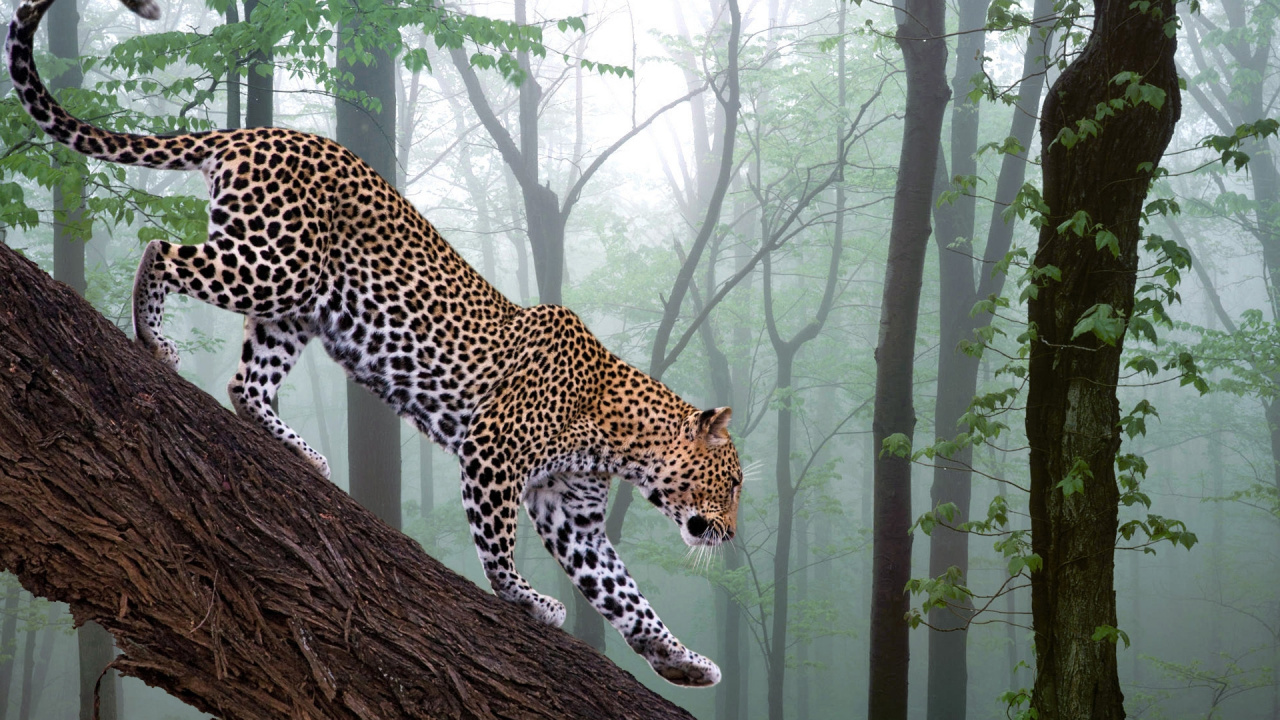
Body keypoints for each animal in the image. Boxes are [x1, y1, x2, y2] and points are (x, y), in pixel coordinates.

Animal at [7, 0, 743, 687]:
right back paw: (152, 339)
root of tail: (258, 130)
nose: (733, 535)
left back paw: (301, 452)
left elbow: (627, 598)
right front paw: (527, 600)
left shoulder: (575, 518)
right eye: (733, 481)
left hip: (297, 307)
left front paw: (682, 661)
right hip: (273, 265)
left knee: (246, 383)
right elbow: (498, 545)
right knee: (160, 249)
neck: (620, 440)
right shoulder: (493, 453)